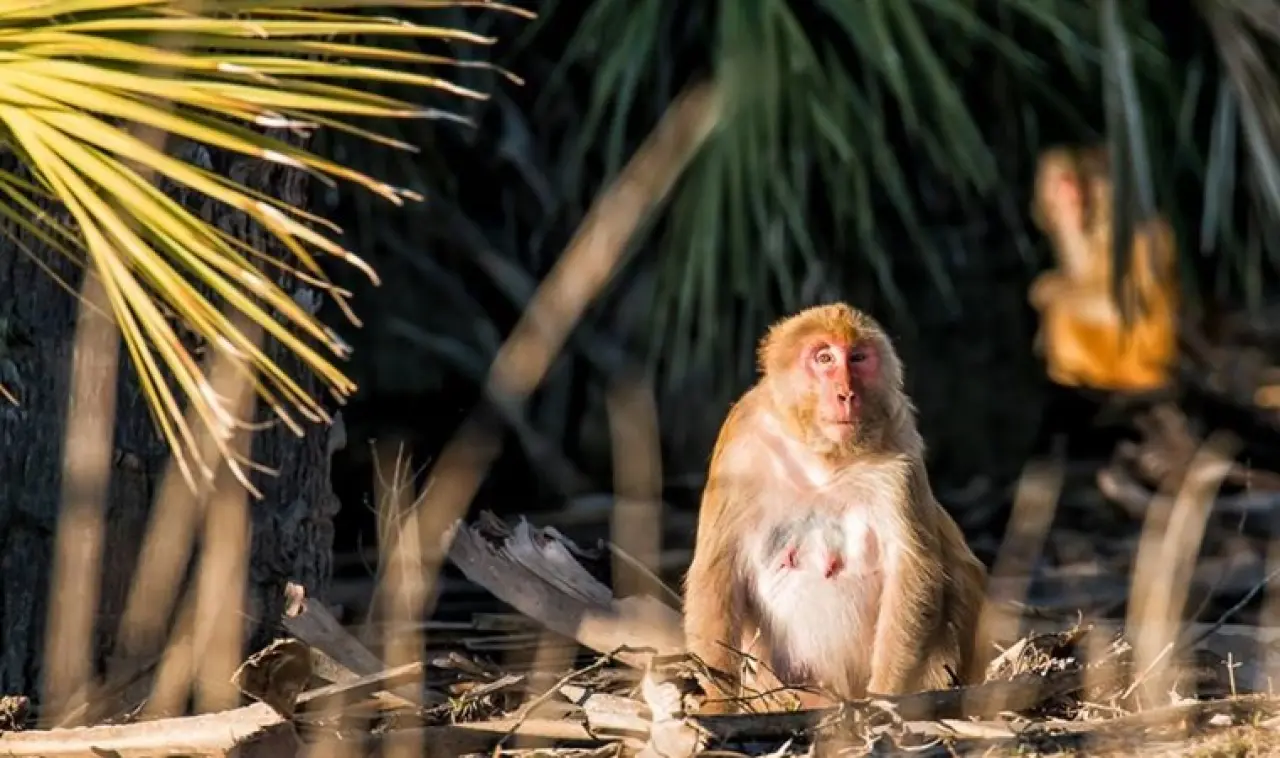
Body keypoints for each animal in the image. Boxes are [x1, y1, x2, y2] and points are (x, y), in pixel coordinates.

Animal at [680, 299, 988, 711]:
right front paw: (718, 705)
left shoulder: (901, 447)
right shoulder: (740, 445)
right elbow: (717, 571)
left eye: (857, 358)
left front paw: (884, 702)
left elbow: (914, 570)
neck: (821, 458)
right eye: (824, 358)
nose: (846, 393)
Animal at [1029, 142, 1177, 394]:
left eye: (1088, 191)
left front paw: (1044, 292)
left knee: (1066, 307)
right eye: (1081, 188)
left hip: (1124, 360)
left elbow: (1124, 303)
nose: (1077, 195)